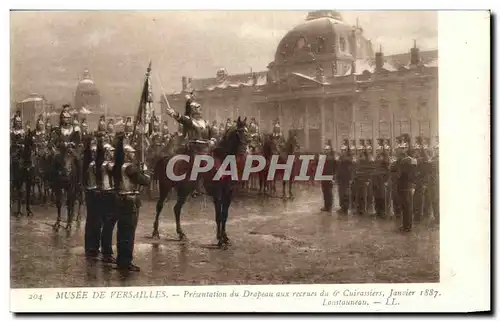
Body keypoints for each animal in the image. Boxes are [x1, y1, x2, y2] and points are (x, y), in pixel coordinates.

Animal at [150, 117, 248, 248]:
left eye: (247, 132)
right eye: (238, 132)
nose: (244, 152)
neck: (223, 161)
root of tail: (167, 158)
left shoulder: (229, 193)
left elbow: (225, 216)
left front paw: (225, 237)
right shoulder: (217, 194)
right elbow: (219, 216)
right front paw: (220, 239)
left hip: (184, 191)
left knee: (177, 209)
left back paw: (181, 234)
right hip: (165, 187)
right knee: (159, 206)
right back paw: (155, 232)